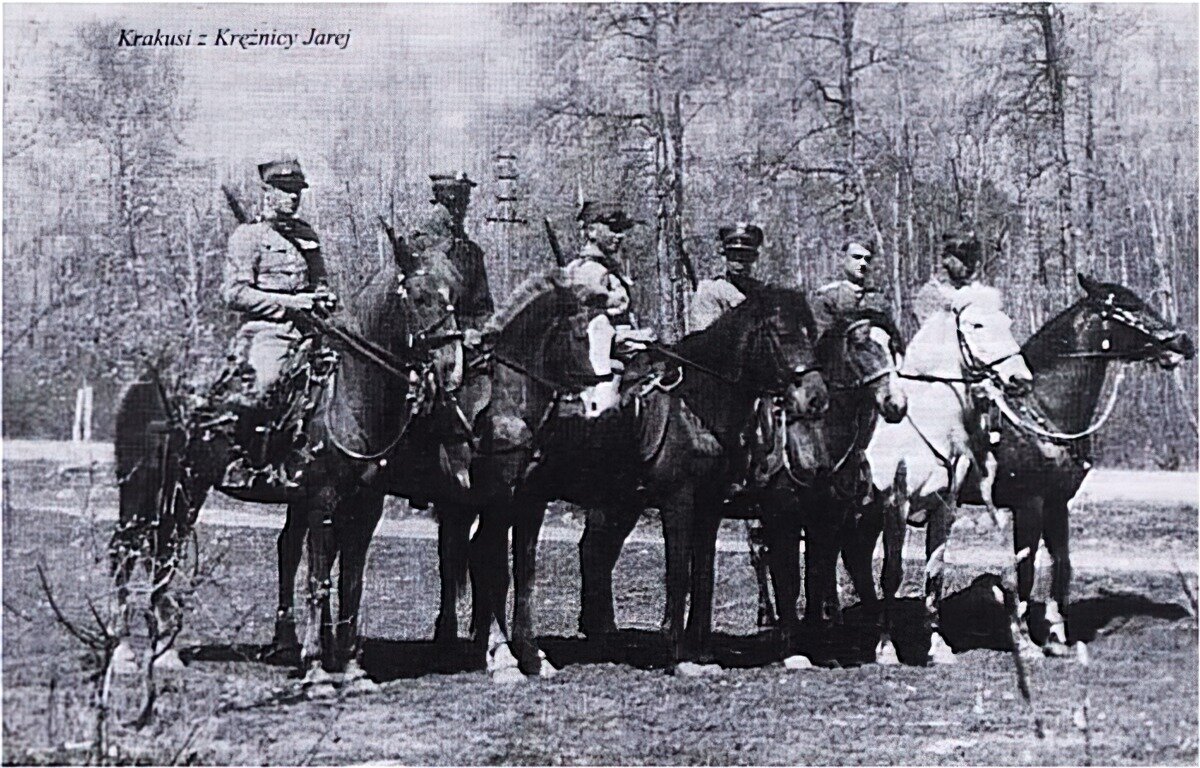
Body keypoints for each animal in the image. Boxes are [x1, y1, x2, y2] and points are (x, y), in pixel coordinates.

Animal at [109, 241, 482, 676]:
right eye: (420, 298)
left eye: (454, 296)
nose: (452, 367)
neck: (351, 395)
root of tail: (144, 379)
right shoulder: (321, 502)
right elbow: (318, 578)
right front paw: (316, 662)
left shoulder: (366, 508)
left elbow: (351, 582)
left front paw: (351, 666)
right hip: (142, 486)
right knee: (124, 548)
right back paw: (123, 648)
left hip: (187, 487)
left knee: (166, 546)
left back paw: (165, 646)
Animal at [494, 286, 825, 672]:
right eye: (782, 332)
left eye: (811, 332)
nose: (816, 397)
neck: (696, 407)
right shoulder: (679, 501)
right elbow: (680, 572)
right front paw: (678, 654)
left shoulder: (710, 506)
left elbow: (704, 574)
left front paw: (702, 652)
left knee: (581, 554)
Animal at [864, 285, 1032, 662]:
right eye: (977, 324)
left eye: (1007, 322)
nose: (1020, 380)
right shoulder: (895, 507)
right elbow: (892, 573)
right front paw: (886, 648)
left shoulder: (945, 508)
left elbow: (935, 572)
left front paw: (938, 647)